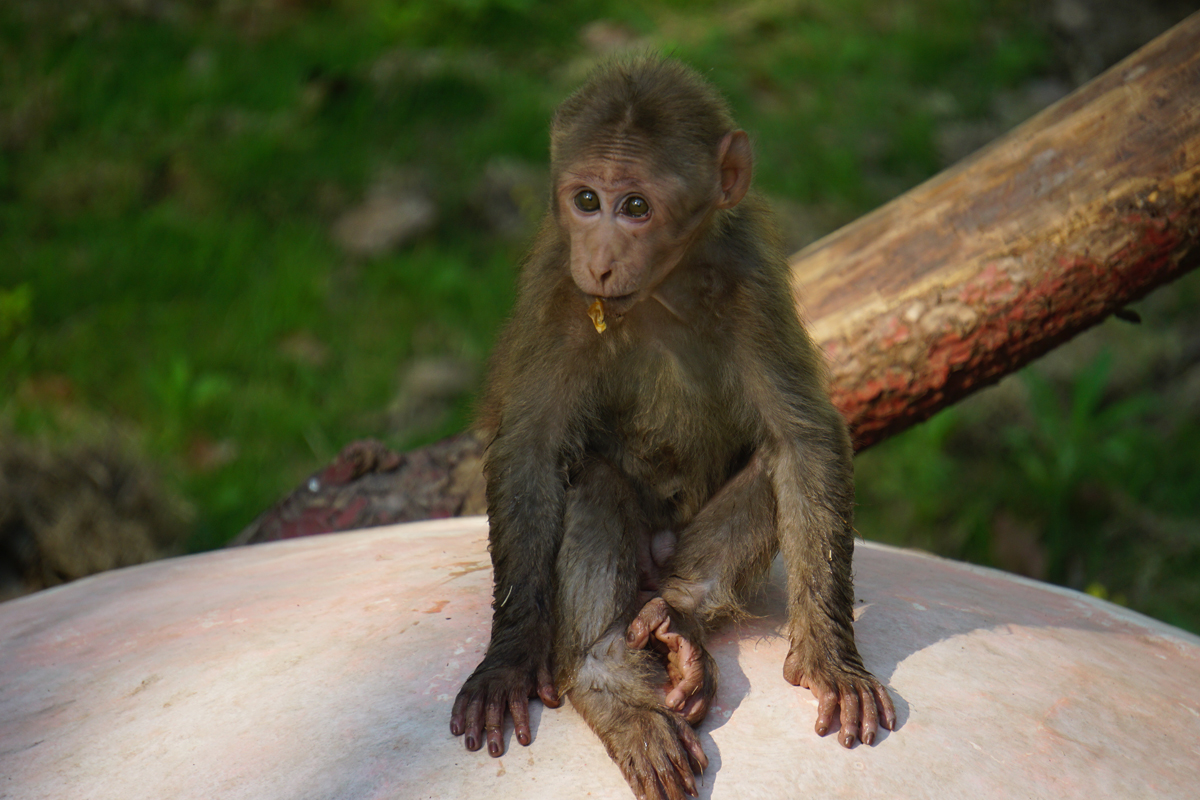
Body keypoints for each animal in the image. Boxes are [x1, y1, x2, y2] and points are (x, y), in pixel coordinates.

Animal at [449, 56, 895, 799]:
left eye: (636, 208)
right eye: (586, 200)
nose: (600, 257)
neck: (659, 290)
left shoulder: (751, 285)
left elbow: (803, 441)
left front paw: (832, 655)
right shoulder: (561, 292)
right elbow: (531, 450)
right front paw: (510, 654)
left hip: (670, 556)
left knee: (765, 471)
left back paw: (679, 619)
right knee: (593, 480)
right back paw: (606, 677)